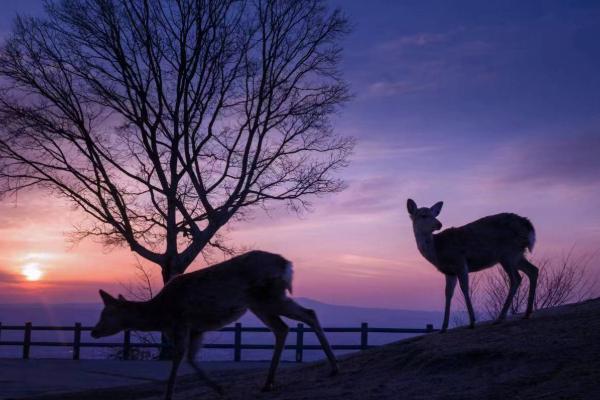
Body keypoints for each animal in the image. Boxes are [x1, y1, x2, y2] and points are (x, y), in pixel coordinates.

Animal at [91, 250, 340, 400]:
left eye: (106, 313)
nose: (93, 331)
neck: (161, 315)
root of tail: (287, 265)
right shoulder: (196, 330)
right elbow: (191, 359)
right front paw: (219, 388)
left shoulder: (181, 324)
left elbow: (178, 358)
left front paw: (169, 395)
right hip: (262, 302)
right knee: (286, 326)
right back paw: (269, 382)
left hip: (267, 297)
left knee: (306, 315)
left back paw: (333, 368)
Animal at [408, 198, 540, 332]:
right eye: (423, 215)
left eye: (434, 215)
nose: (439, 224)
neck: (437, 250)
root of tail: (528, 226)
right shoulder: (449, 272)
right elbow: (448, 294)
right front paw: (443, 328)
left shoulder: (460, 262)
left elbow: (464, 288)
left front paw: (472, 322)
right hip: (517, 255)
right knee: (533, 270)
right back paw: (527, 313)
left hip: (508, 253)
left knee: (516, 278)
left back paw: (500, 318)